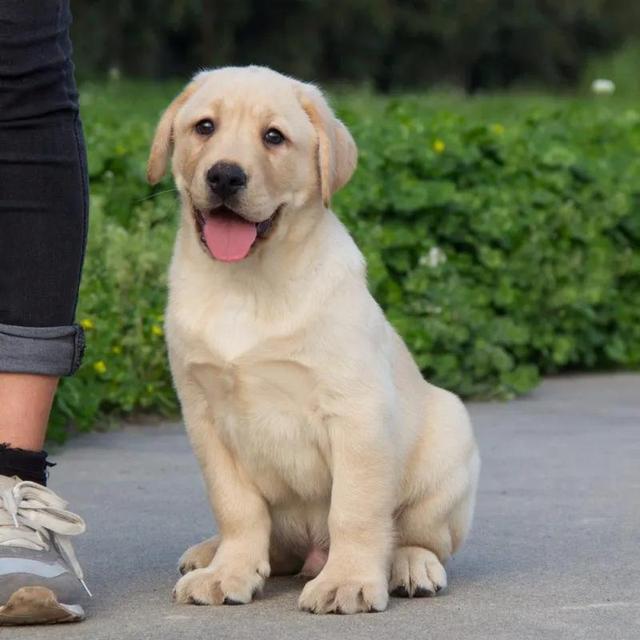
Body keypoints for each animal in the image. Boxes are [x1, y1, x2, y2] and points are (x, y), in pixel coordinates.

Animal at [148, 66, 478, 616]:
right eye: (204, 127)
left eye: (274, 137)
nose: (225, 176)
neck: (247, 283)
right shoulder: (204, 416)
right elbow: (236, 507)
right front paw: (230, 571)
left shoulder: (357, 411)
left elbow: (356, 509)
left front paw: (348, 581)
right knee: (270, 539)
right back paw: (211, 553)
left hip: (449, 440)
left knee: (417, 535)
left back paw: (409, 565)